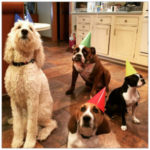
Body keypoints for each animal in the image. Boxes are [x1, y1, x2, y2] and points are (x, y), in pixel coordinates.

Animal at [3, 20, 57, 148]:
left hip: (41, 113)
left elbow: (31, 125)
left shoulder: (32, 101)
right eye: (18, 27)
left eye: (31, 29)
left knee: (52, 123)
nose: (24, 31)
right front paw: (17, 140)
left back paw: (43, 133)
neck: (22, 65)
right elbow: (17, 124)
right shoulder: (14, 102)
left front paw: (29, 143)